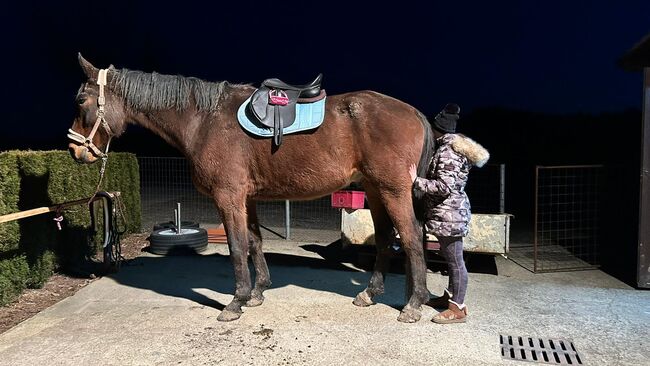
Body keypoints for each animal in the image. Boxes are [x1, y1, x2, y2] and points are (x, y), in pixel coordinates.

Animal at [68, 54, 432, 324]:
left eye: (81, 100)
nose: (74, 151)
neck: (203, 121)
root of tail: (413, 112)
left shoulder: (228, 197)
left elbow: (236, 245)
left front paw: (236, 301)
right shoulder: (248, 199)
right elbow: (255, 242)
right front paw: (257, 293)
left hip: (392, 190)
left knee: (411, 237)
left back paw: (414, 304)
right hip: (374, 189)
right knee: (385, 239)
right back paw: (371, 294)